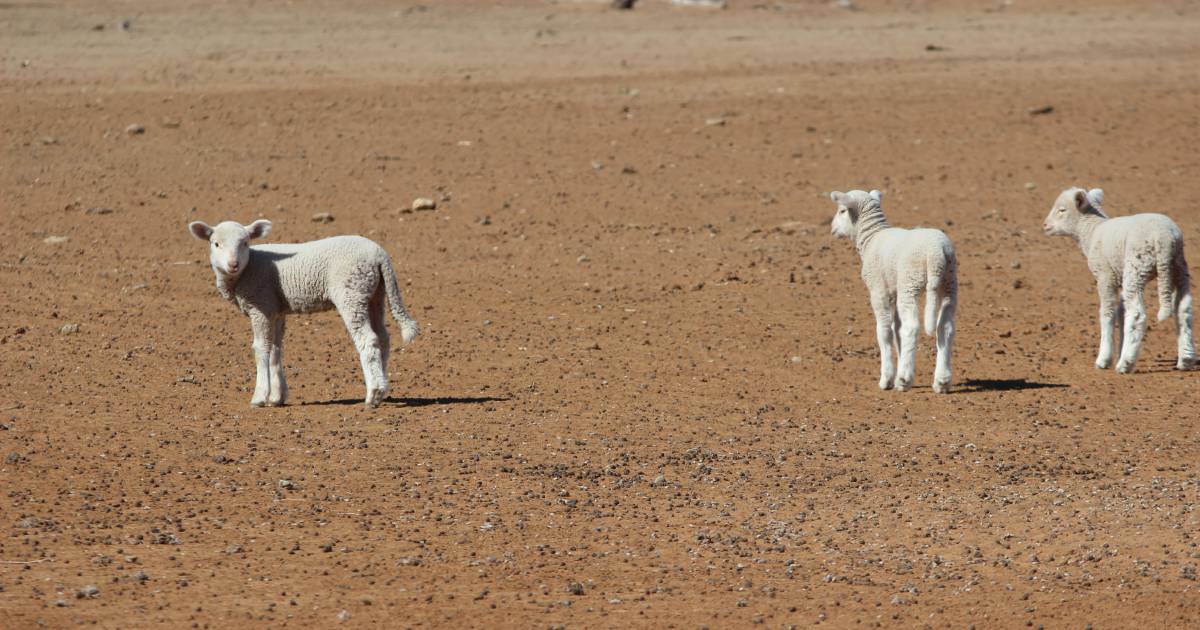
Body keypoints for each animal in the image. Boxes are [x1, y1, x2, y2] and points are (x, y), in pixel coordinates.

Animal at [182, 219, 417, 408]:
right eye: (216, 244)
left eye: (245, 243)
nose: (233, 264)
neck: (248, 269)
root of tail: (379, 255)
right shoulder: (275, 309)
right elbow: (275, 350)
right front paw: (277, 397)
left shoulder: (261, 306)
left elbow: (260, 349)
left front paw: (259, 396)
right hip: (374, 294)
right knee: (383, 338)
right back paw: (382, 388)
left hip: (351, 292)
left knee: (368, 340)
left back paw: (373, 394)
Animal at [830, 189, 960, 391]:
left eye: (842, 211)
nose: (832, 228)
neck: (871, 236)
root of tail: (936, 254)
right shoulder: (895, 290)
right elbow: (897, 330)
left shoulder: (879, 291)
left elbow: (884, 332)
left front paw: (887, 378)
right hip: (949, 282)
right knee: (945, 327)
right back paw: (942, 381)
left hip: (910, 282)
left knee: (912, 327)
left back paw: (903, 380)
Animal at [1041, 187, 1190, 374]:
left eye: (1062, 210)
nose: (1045, 226)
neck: (1090, 231)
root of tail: (1164, 239)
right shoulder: (1119, 277)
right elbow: (1121, 313)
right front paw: (1120, 351)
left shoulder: (1105, 276)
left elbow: (1108, 313)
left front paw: (1104, 359)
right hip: (1178, 267)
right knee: (1183, 309)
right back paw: (1185, 359)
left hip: (1136, 267)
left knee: (1137, 315)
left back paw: (1125, 364)